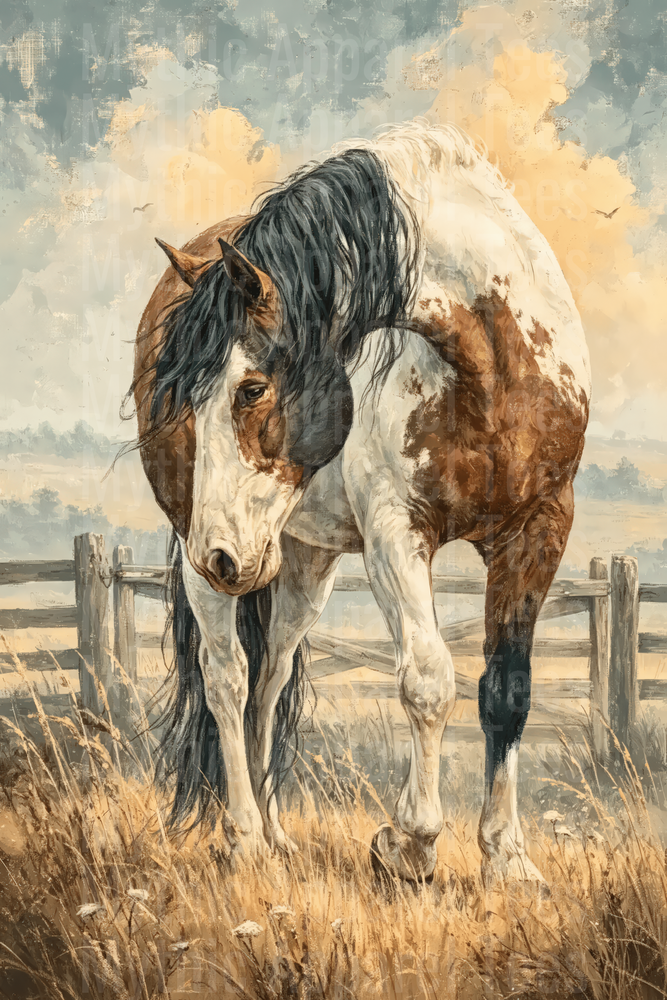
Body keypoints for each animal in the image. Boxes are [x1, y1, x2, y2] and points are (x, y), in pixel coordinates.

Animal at [133, 120, 590, 884]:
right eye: (186, 401)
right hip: (218, 558)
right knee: (227, 680)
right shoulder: (395, 536)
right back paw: (244, 838)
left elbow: (508, 692)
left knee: (270, 675)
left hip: (296, 558)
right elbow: (428, 680)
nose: (220, 554)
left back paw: (276, 834)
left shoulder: (538, 529)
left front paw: (507, 858)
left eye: (250, 388)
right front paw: (411, 842)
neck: (493, 367)